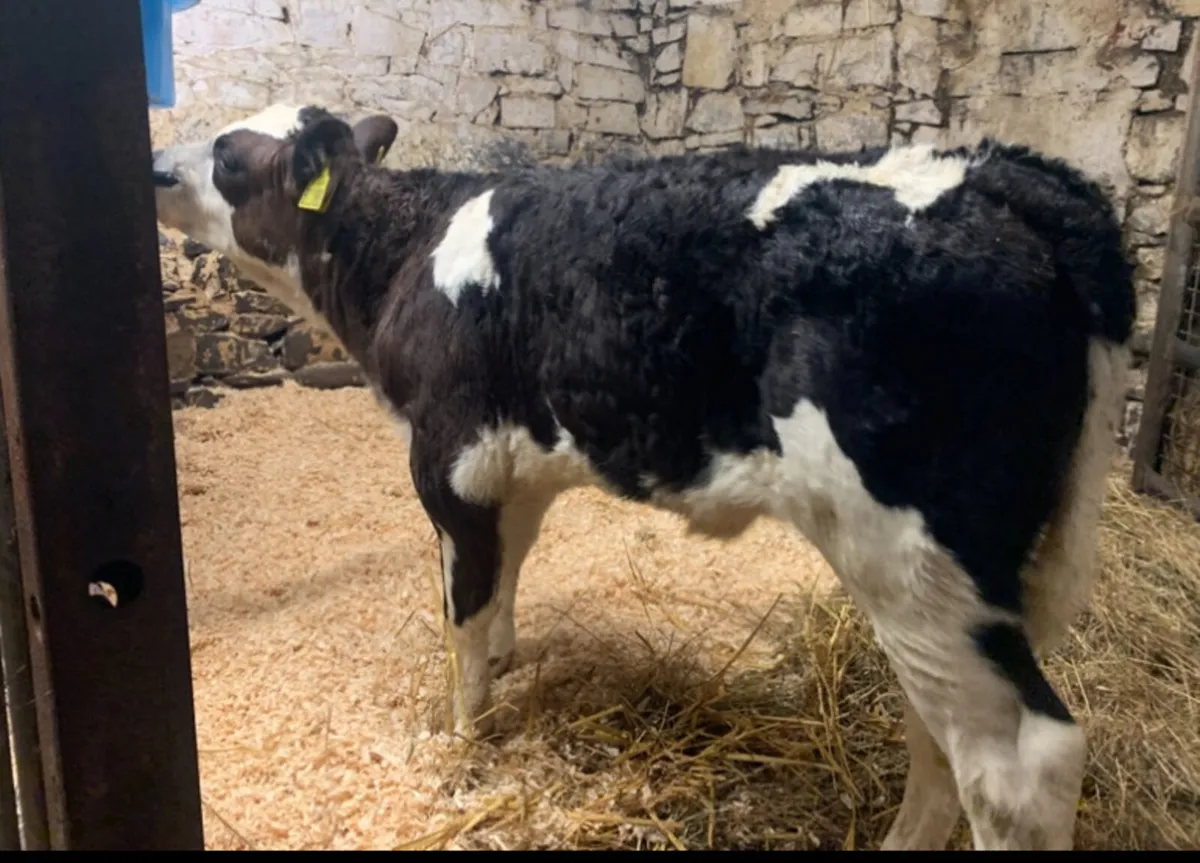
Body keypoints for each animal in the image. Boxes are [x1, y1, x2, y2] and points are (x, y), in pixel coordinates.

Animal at [151, 104, 1134, 850]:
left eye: (229, 155)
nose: (157, 165)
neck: (406, 253)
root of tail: (1017, 177)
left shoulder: (450, 457)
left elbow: (462, 605)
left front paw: (463, 734)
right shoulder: (518, 462)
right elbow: (507, 572)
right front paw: (506, 660)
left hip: (910, 547)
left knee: (1017, 763)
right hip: (966, 576)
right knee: (944, 730)